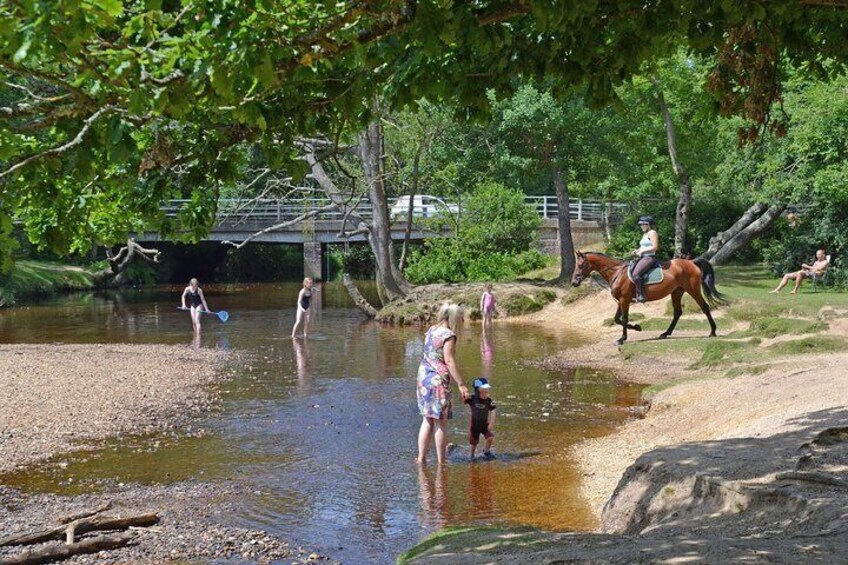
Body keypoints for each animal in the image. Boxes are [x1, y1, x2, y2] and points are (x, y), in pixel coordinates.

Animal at [568, 250, 728, 344]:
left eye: (581, 265)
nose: (574, 282)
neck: (616, 272)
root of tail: (691, 262)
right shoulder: (620, 301)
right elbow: (617, 319)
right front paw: (636, 328)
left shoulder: (625, 300)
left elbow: (624, 319)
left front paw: (624, 338)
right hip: (676, 292)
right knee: (677, 312)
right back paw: (665, 333)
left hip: (693, 289)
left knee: (704, 307)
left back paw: (713, 331)